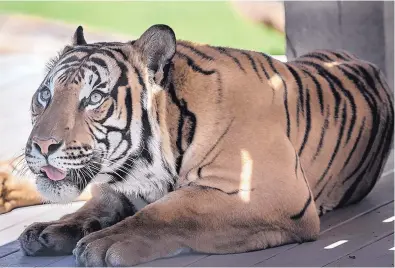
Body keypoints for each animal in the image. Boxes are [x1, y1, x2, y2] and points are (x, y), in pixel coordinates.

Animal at [13, 24, 392, 266]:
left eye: (94, 98)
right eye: (45, 94)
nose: (42, 145)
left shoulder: (272, 192)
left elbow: (172, 211)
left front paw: (106, 242)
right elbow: (99, 203)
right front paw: (51, 229)